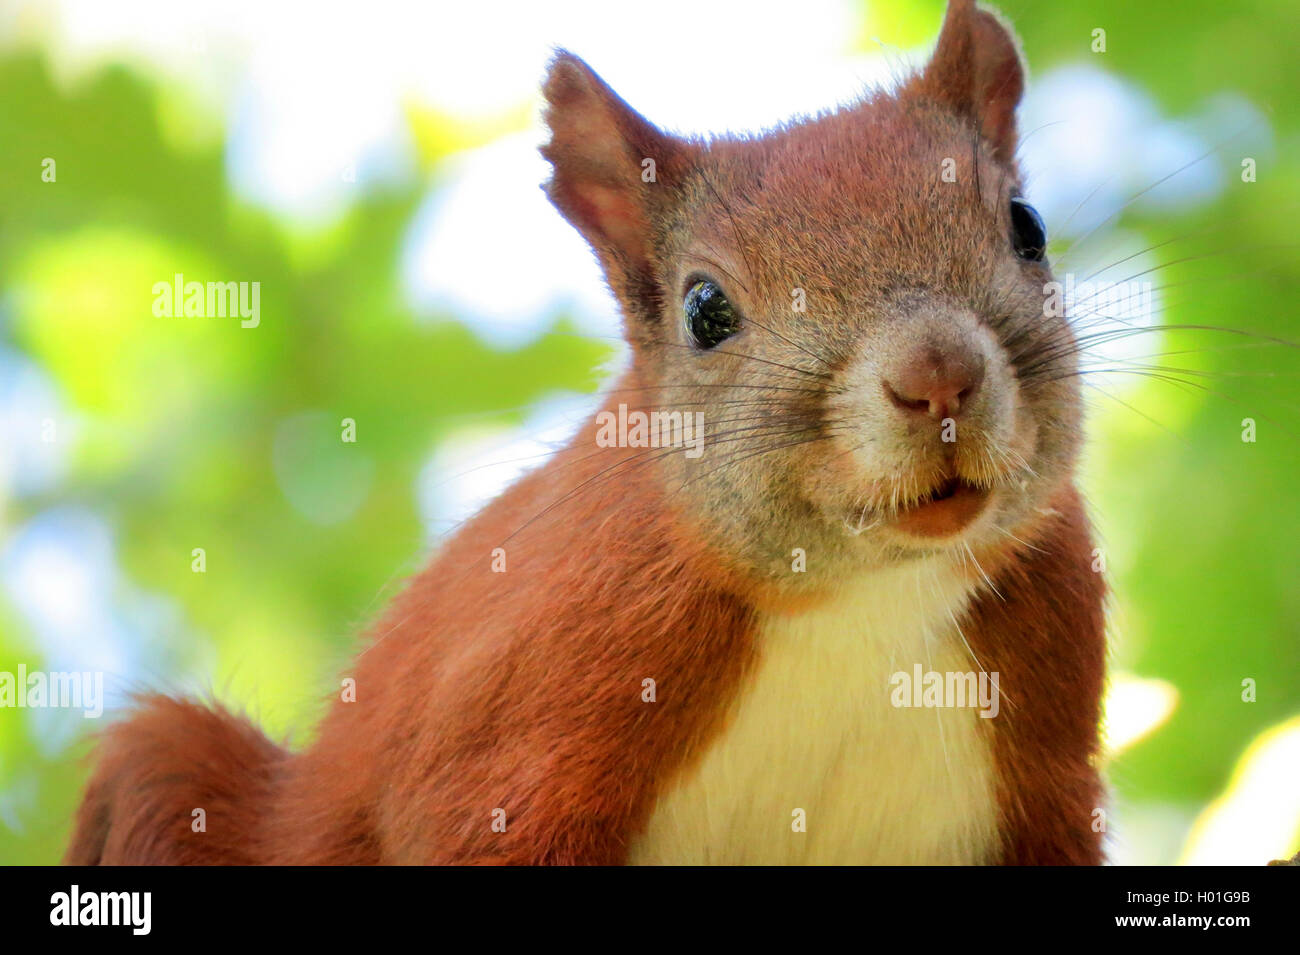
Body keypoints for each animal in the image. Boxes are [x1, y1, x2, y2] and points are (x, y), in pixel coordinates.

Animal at [68, 1, 1107, 867]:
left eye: (1027, 226)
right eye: (705, 309)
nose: (938, 377)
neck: (860, 597)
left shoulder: (1052, 739)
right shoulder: (539, 686)